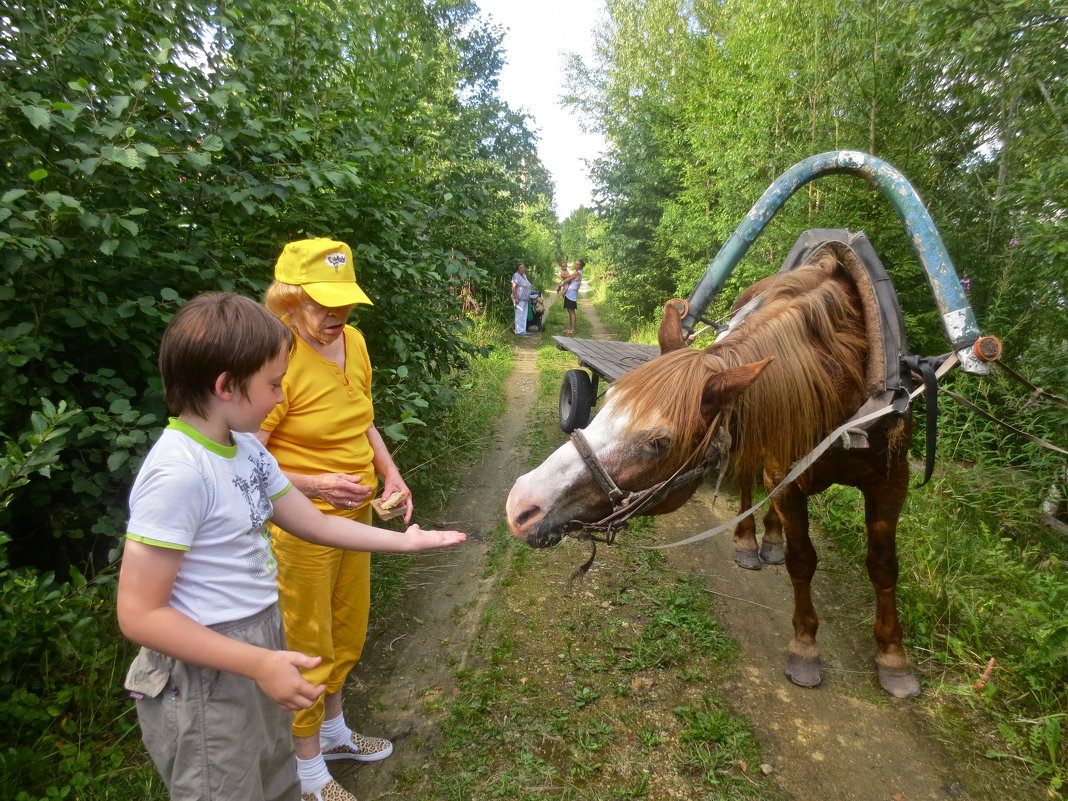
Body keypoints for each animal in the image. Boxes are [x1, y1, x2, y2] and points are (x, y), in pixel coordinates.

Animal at [508, 249, 918, 696]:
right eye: (610, 398)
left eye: (659, 442)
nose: (520, 504)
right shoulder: (785, 472)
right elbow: (802, 560)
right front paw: (806, 646)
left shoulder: (893, 481)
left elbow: (883, 565)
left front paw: (893, 657)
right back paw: (751, 542)